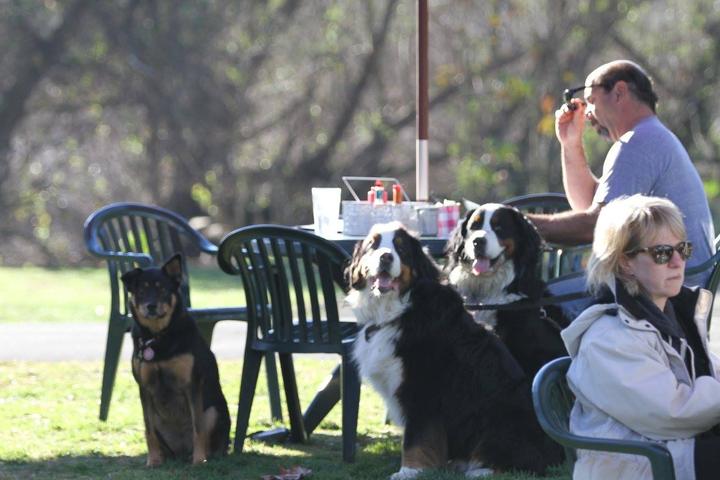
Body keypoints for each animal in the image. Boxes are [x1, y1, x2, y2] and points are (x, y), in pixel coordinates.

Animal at [119, 255, 229, 464]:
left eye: (162, 289)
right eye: (142, 290)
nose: (151, 306)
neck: (158, 336)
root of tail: (182, 451)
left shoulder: (192, 383)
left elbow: (197, 428)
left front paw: (199, 460)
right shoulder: (144, 388)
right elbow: (148, 431)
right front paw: (153, 461)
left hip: (212, 411)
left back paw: (202, 455)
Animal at [348, 222, 564, 480]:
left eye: (400, 248)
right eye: (373, 245)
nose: (386, 257)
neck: (398, 310)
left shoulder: (423, 388)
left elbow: (416, 439)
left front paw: (409, 471)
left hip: (499, 420)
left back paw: (479, 470)